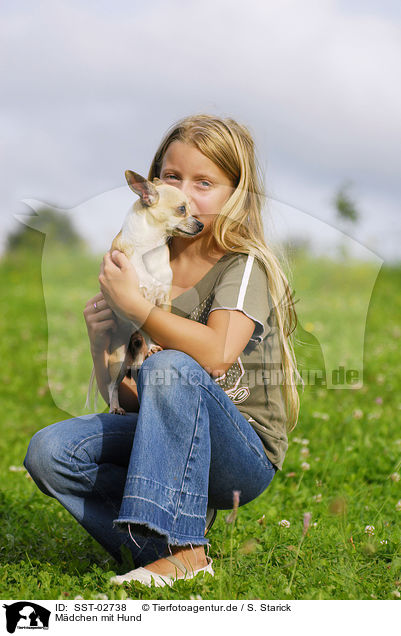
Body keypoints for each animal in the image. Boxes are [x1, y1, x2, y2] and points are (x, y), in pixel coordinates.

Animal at [85, 171, 202, 414]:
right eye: (182, 209)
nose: (201, 224)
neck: (151, 247)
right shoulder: (133, 302)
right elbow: (146, 325)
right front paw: (151, 345)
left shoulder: (163, 299)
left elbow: (157, 323)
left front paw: (155, 345)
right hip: (119, 361)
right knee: (112, 386)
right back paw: (116, 407)